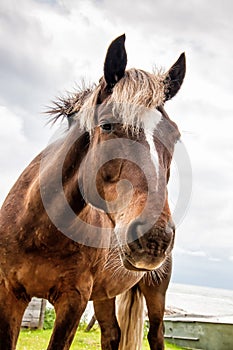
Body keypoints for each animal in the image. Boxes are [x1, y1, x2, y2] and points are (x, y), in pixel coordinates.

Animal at [0, 33, 186, 350]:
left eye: (174, 136)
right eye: (107, 125)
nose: (155, 239)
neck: (39, 231)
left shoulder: (73, 301)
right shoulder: (9, 294)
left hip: (155, 291)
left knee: (156, 334)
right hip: (104, 295)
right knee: (112, 334)